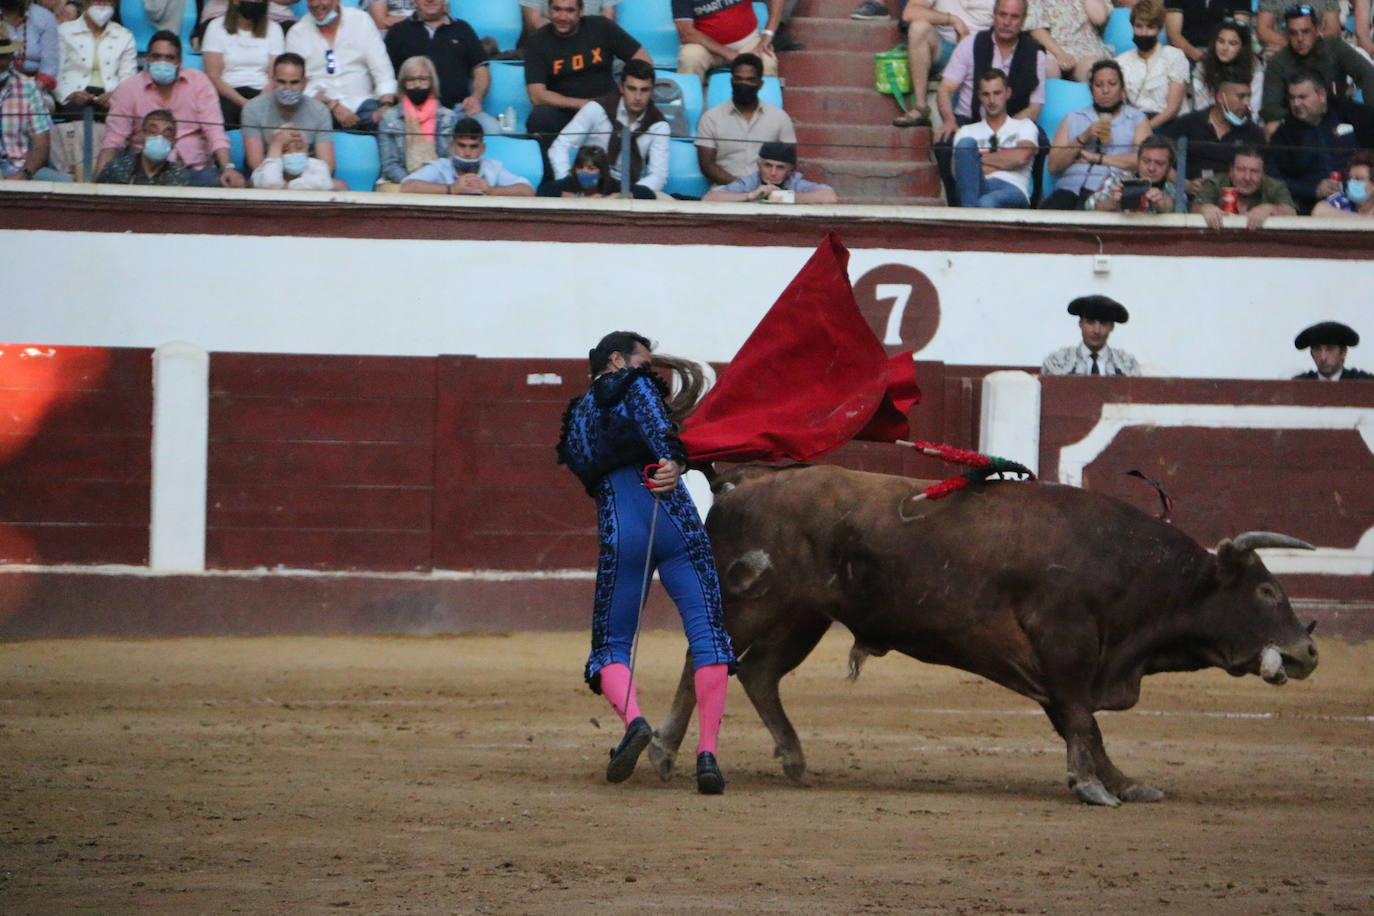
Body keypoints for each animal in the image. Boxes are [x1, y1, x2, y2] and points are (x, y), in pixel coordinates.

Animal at [648, 469, 1324, 807]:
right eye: (1267, 591)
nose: (1308, 651)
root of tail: (737, 488)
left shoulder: (1061, 665)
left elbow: (1081, 725)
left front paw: (1125, 784)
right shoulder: (1065, 644)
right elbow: (1084, 720)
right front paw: (1093, 787)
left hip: (803, 615)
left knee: (760, 673)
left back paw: (792, 758)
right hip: (751, 601)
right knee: (703, 660)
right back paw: (662, 752)